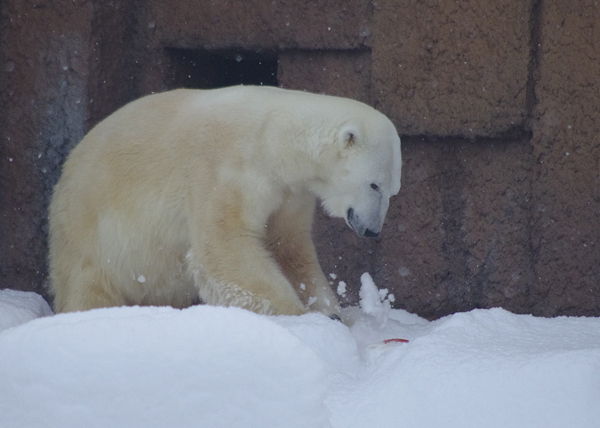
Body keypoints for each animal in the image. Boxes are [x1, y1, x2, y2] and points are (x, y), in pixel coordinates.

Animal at [48, 86, 404, 318]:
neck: (273, 138)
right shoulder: (225, 166)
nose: (372, 230)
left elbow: (288, 245)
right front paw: (297, 315)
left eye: (393, 191)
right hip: (89, 233)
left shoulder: (289, 192)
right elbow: (225, 243)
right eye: (374, 184)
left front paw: (330, 311)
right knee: (89, 287)